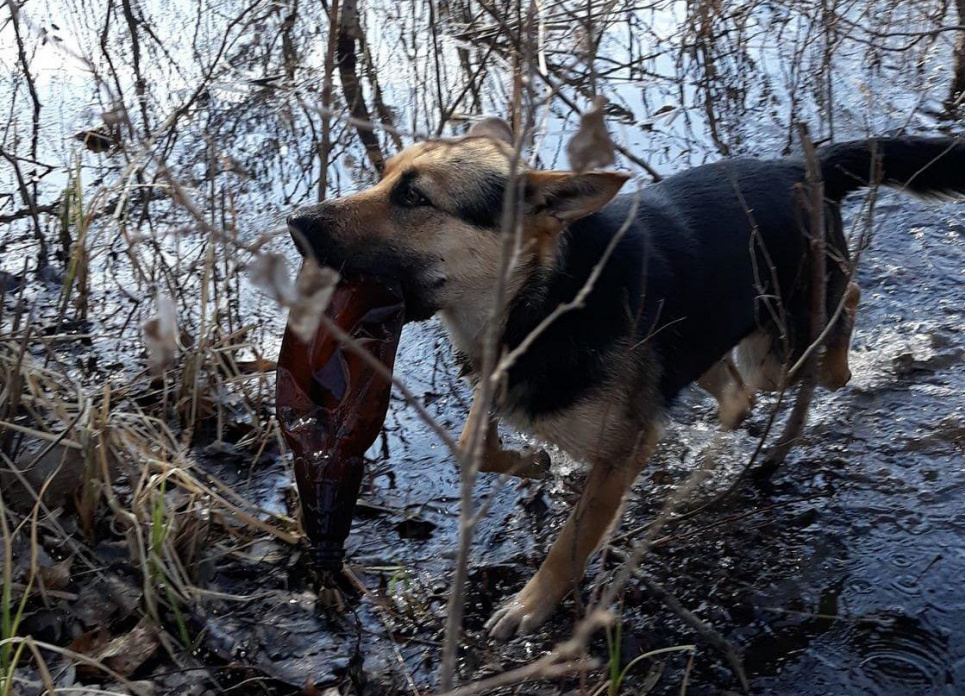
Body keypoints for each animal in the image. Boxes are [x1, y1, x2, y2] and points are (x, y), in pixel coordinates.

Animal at [290, 119, 964, 636]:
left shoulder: (623, 449)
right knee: (739, 392)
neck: (546, 297)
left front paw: (531, 606)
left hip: (787, 338)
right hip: (724, 342)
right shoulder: (509, 386)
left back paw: (840, 360)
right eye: (384, 176)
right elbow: (476, 443)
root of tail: (804, 161)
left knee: (840, 312)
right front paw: (534, 464)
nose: (297, 223)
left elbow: (569, 541)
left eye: (414, 199)